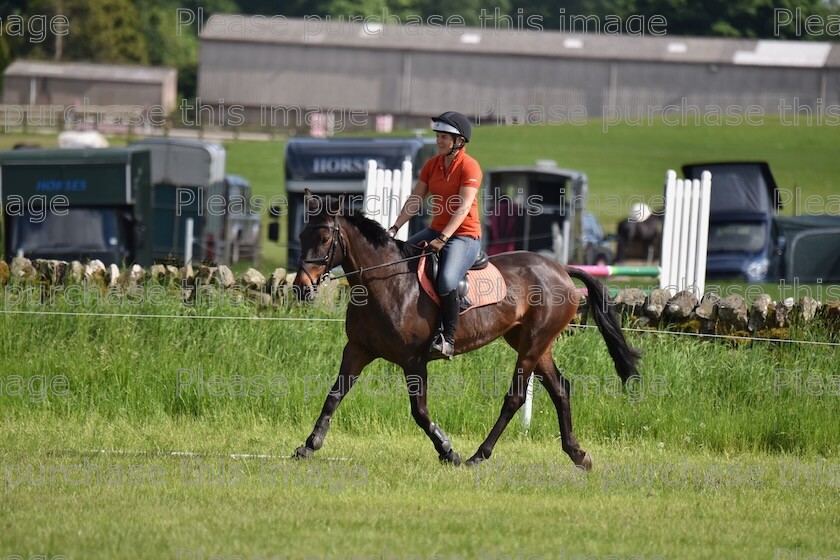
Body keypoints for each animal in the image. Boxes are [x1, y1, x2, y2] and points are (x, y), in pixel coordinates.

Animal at [292, 191, 640, 468]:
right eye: (302, 236)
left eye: (324, 239)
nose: (301, 288)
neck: (384, 283)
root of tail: (561, 269)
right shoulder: (358, 350)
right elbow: (334, 395)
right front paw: (309, 445)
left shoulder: (413, 361)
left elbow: (419, 411)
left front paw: (448, 451)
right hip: (532, 343)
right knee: (560, 390)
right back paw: (578, 454)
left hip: (532, 344)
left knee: (515, 397)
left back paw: (478, 455)